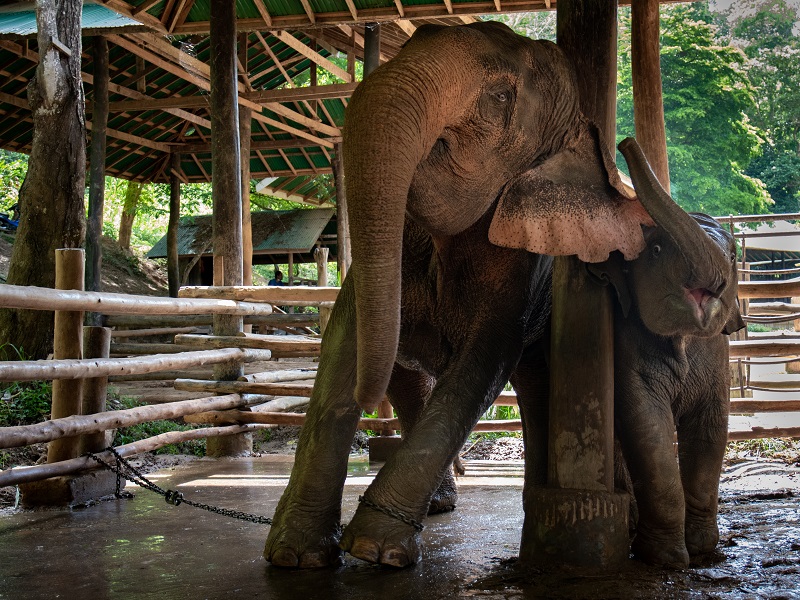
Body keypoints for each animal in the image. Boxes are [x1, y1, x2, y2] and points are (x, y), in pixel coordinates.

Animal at [264, 22, 657, 569]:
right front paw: (295, 554)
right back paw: (440, 504)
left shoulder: (520, 263)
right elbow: (345, 335)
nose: (366, 402)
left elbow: (482, 360)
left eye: (501, 97)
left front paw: (374, 550)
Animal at [586, 138, 745, 568]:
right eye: (655, 250)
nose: (623, 143)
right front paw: (665, 559)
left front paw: (704, 549)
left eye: (734, 254)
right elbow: (646, 425)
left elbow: (712, 427)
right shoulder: (627, 344)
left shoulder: (718, 354)